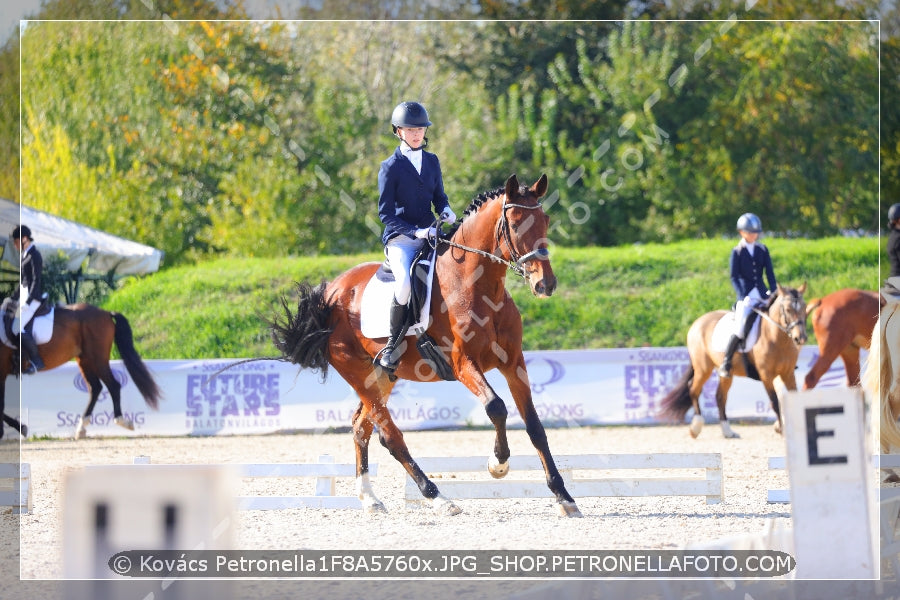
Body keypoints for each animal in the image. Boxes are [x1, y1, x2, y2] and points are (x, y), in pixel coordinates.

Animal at [0, 304, 160, 440]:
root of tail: (105, 313)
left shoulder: (2, 374)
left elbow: (1, 406)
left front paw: (11, 430)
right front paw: (19, 427)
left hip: (97, 359)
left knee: (113, 385)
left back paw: (121, 421)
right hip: (84, 360)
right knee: (96, 388)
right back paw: (81, 428)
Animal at [268, 173, 584, 516]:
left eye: (545, 220)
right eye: (514, 223)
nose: (545, 284)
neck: (480, 289)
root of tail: (330, 292)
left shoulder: (513, 362)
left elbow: (535, 426)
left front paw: (564, 497)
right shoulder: (462, 364)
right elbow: (496, 407)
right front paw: (498, 464)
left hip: (382, 376)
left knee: (361, 427)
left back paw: (370, 498)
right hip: (356, 372)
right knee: (390, 436)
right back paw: (438, 497)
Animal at [652, 284, 808, 438]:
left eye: (804, 307)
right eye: (788, 309)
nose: (801, 338)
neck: (777, 338)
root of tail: (698, 321)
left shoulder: (788, 374)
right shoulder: (766, 375)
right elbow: (775, 401)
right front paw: (781, 430)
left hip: (725, 373)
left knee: (720, 396)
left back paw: (727, 431)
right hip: (703, 368)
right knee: (693, 389)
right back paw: (696, 427)